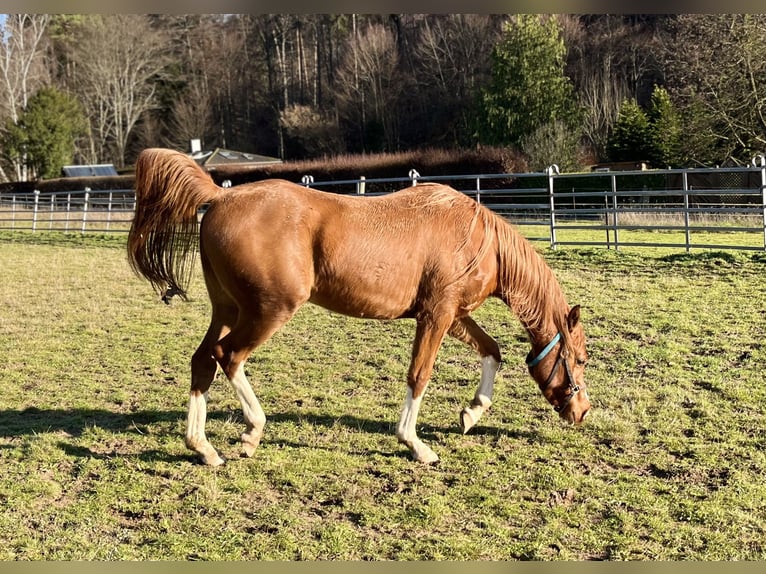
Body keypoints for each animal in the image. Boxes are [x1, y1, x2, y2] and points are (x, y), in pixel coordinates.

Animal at [129, 148, 592, 468]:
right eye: (582, 360)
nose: (583, 411)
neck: (479, 241)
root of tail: (220, 198)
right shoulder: (436, 315)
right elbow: (419, 375)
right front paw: (416, 444)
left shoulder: (454, 315)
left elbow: (492, 351)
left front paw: (470, 414)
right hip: (268, 311)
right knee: (228, 357)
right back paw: (250, 434)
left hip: (227, 309)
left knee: (202, 361)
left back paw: (203, 447)